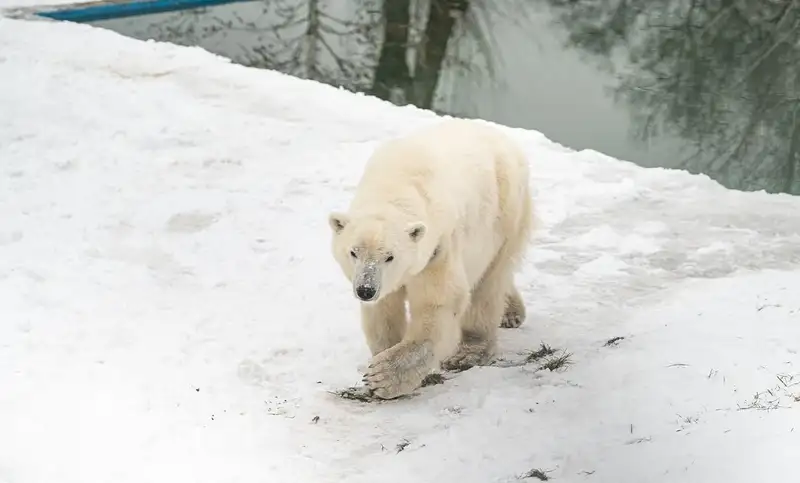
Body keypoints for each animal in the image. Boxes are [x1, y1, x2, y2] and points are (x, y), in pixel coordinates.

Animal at [324, 118, 532, 400]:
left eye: (390, 256)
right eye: (353, 252)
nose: (365, 290)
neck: (396, 182)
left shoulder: (439, 247)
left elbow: (438, 304)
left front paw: (383, 376)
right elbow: (384, 309)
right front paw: (381, 353)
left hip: (506, 212)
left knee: (488, 282)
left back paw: (470, 351)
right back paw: (511, 312)